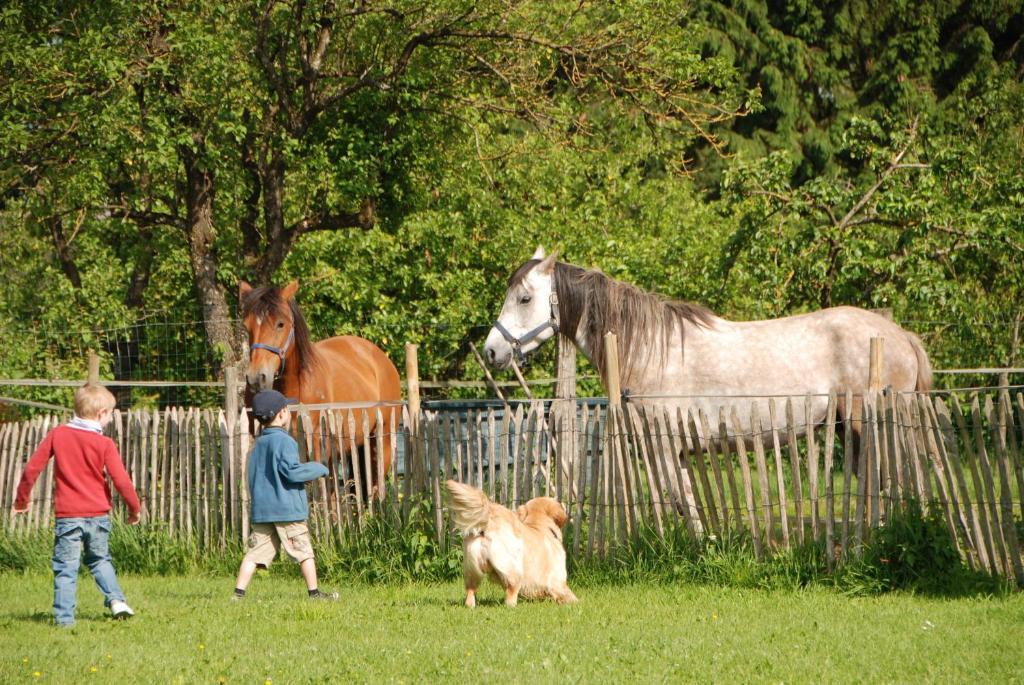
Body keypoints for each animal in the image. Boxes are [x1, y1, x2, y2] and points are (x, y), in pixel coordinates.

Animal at [446, 479, 581, 606]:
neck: (540, 525)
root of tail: (489, 519)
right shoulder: (557, 581)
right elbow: (571, 596)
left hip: (471, 568)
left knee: (470, 591)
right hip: (512, 569)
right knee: (511, 592)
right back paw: (512, 606)